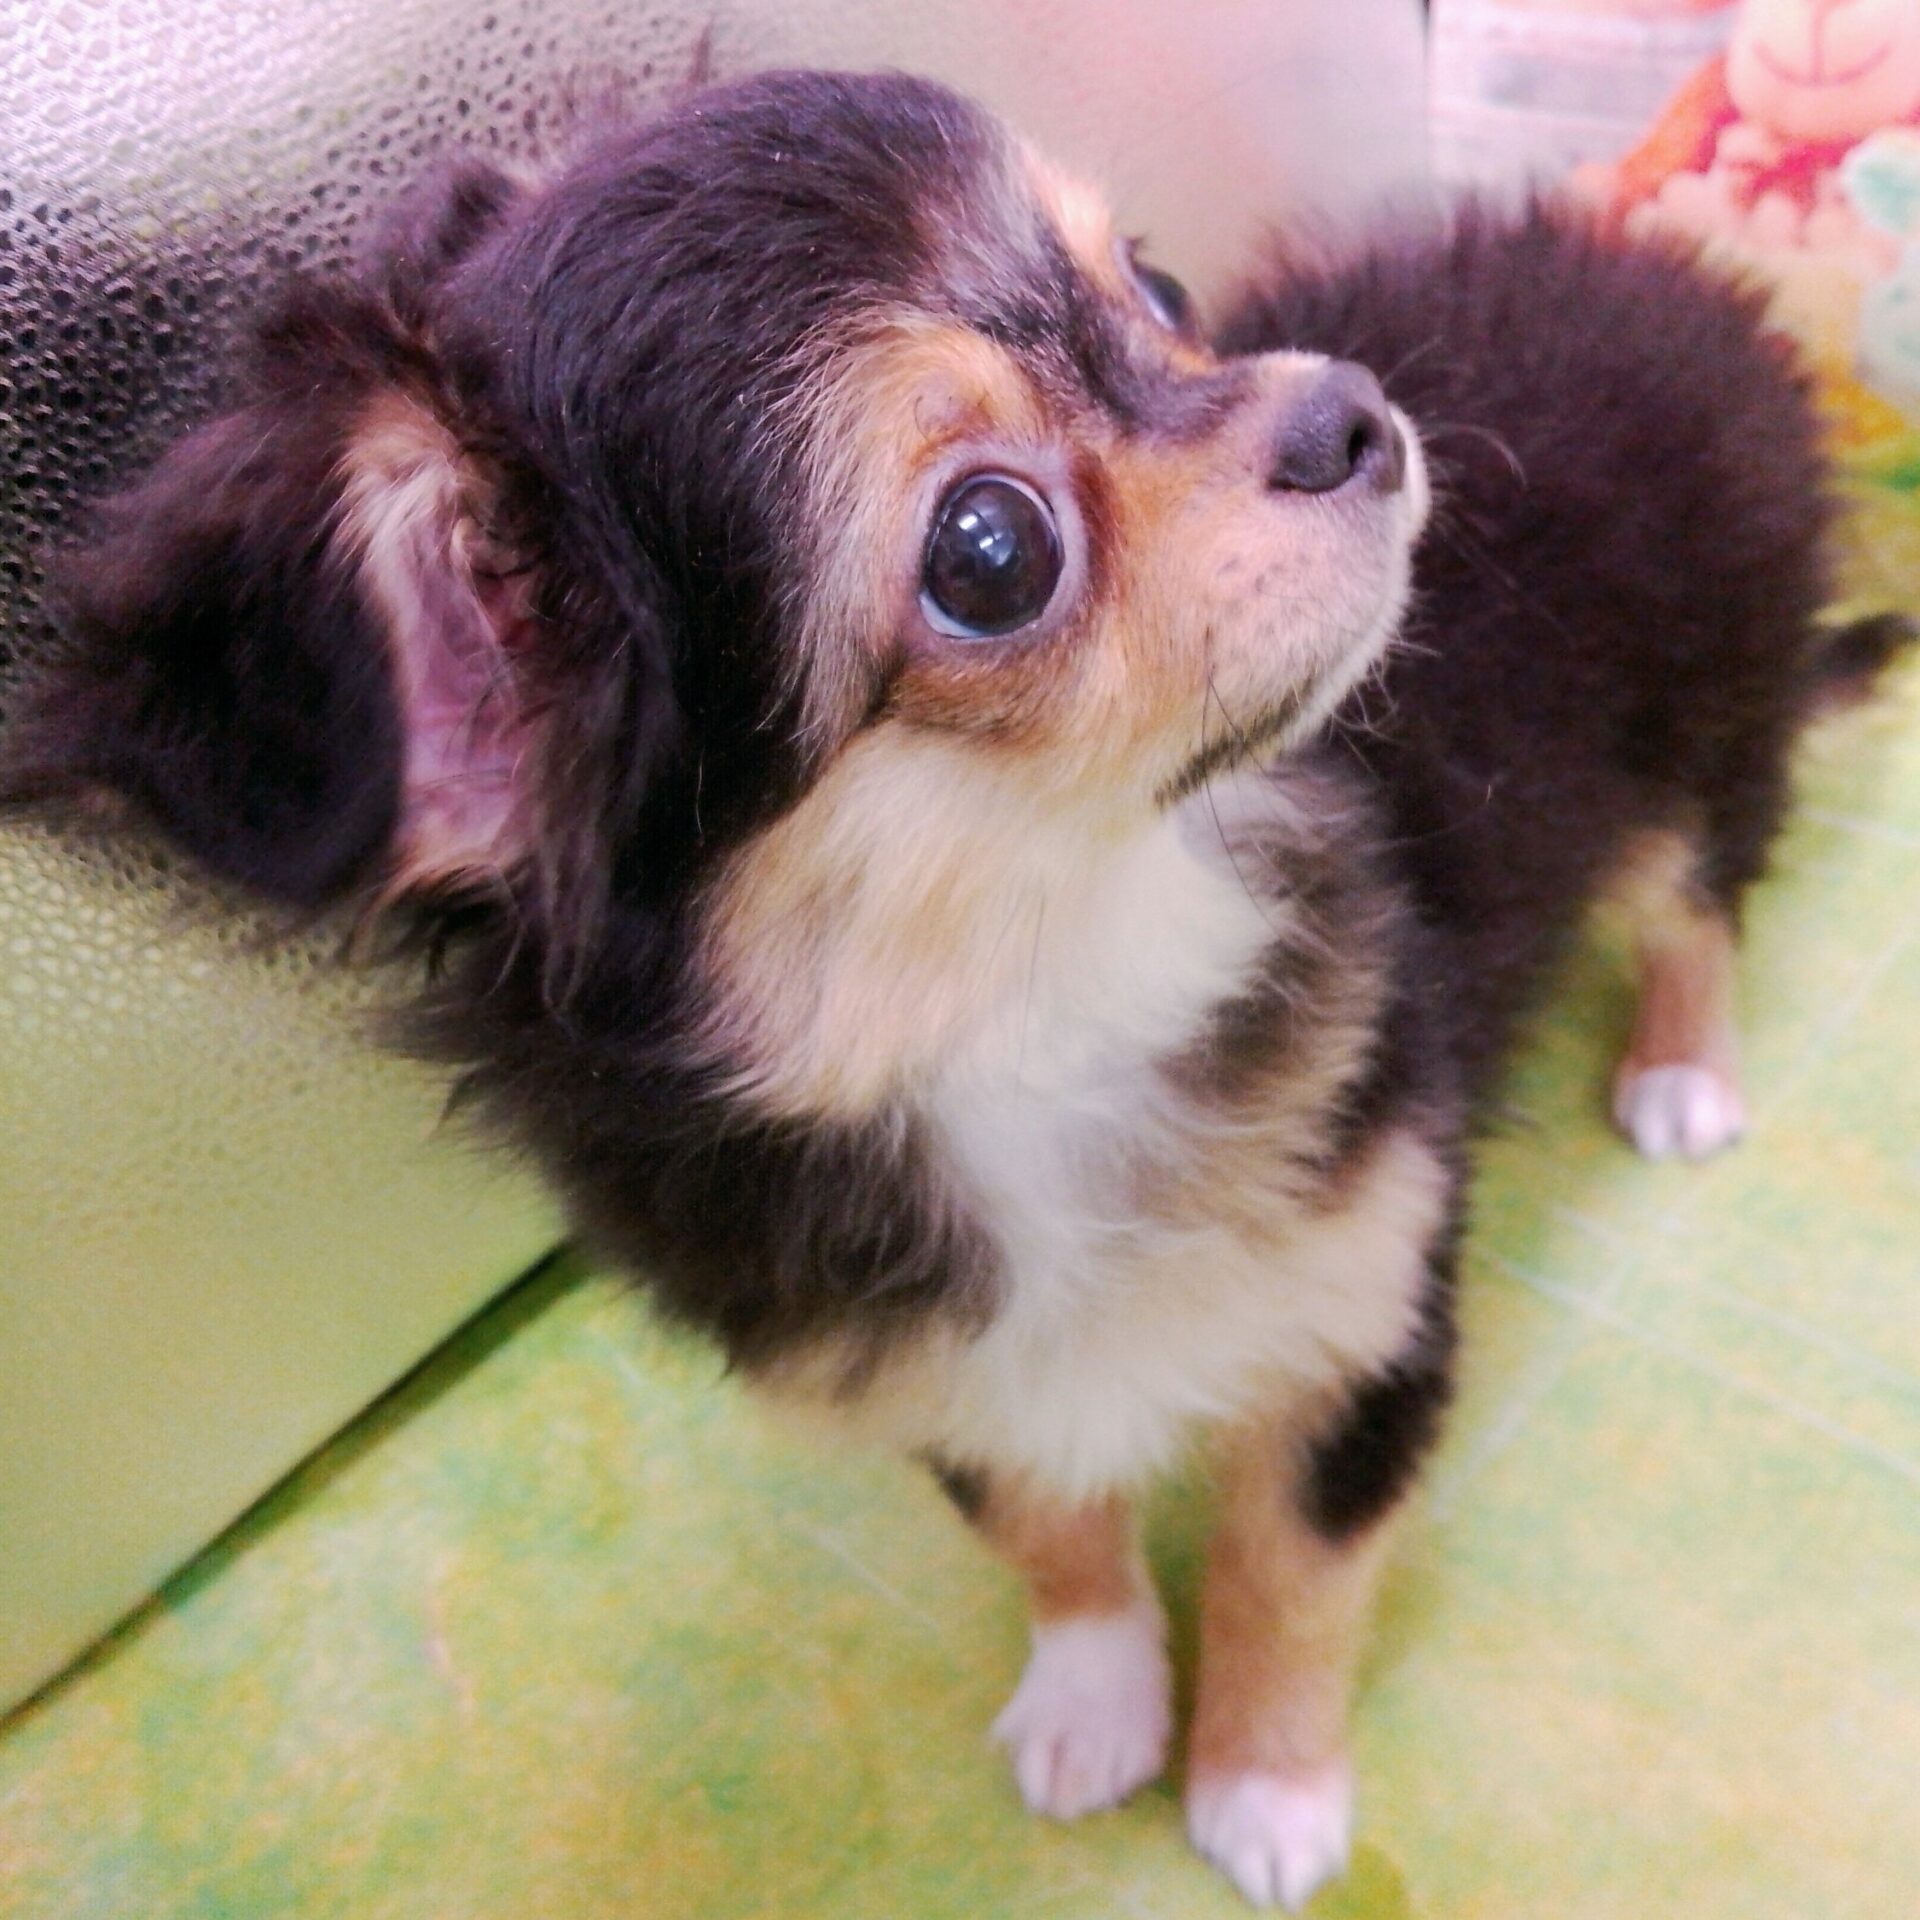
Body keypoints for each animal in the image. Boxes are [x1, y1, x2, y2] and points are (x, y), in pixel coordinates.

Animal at [3, 69, 1909, 1911]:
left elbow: (1284, 1574)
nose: (1350, 412)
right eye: (990, 553)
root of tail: (1661, 272)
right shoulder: (940, 1362)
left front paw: (1266, 1787)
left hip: (1699, 745)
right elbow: (1051, 1530)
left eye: (1159, 291)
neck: (1027, 990)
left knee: (1701, 905)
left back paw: (1682, 1076)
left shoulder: (1360, 1312)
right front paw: (1095, 1698)